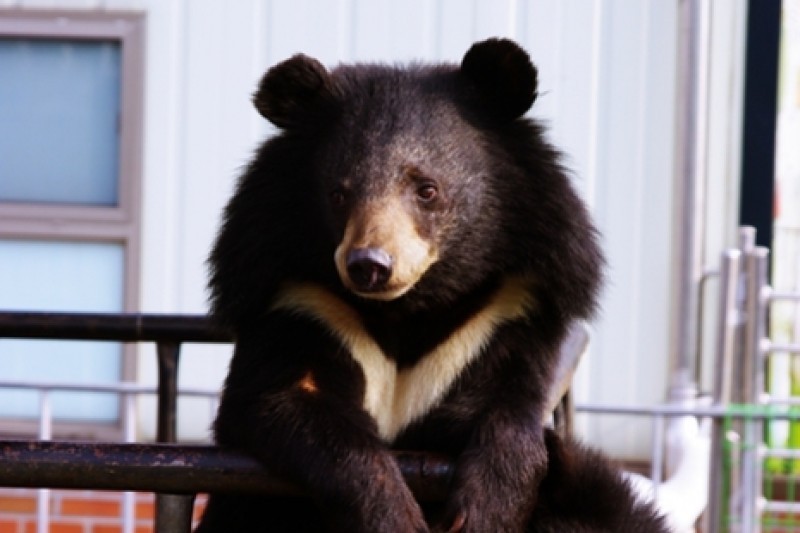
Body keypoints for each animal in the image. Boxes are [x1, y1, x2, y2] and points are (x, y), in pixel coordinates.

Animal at [195, 38, 668, 532]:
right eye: (338, 194)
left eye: (427, 190)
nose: (369, 265)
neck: (406, 310)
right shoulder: (303, 302)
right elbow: (286, 402)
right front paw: (395, 517)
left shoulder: (499, 315)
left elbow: (504, 411)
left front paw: (485, 509)